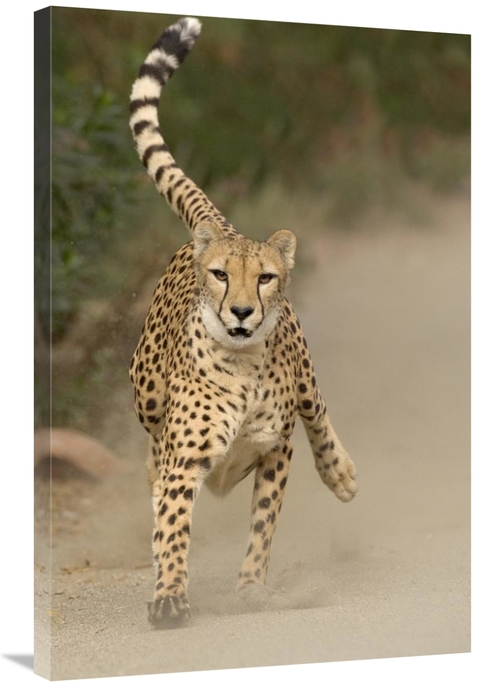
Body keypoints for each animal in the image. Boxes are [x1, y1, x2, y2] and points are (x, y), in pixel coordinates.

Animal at [128, 16, 357, 627]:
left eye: (265, 278)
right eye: (220, 276)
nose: (240, 311)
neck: (244, 364)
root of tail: (222, 226)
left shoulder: (275, 451)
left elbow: (262, 527)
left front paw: (252, 587)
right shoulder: (184, 463)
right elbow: (173, 526)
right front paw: (170, 595)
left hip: (304, 377)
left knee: (318, 410)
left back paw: (341, 472)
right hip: (146, 397)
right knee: (153, 471)